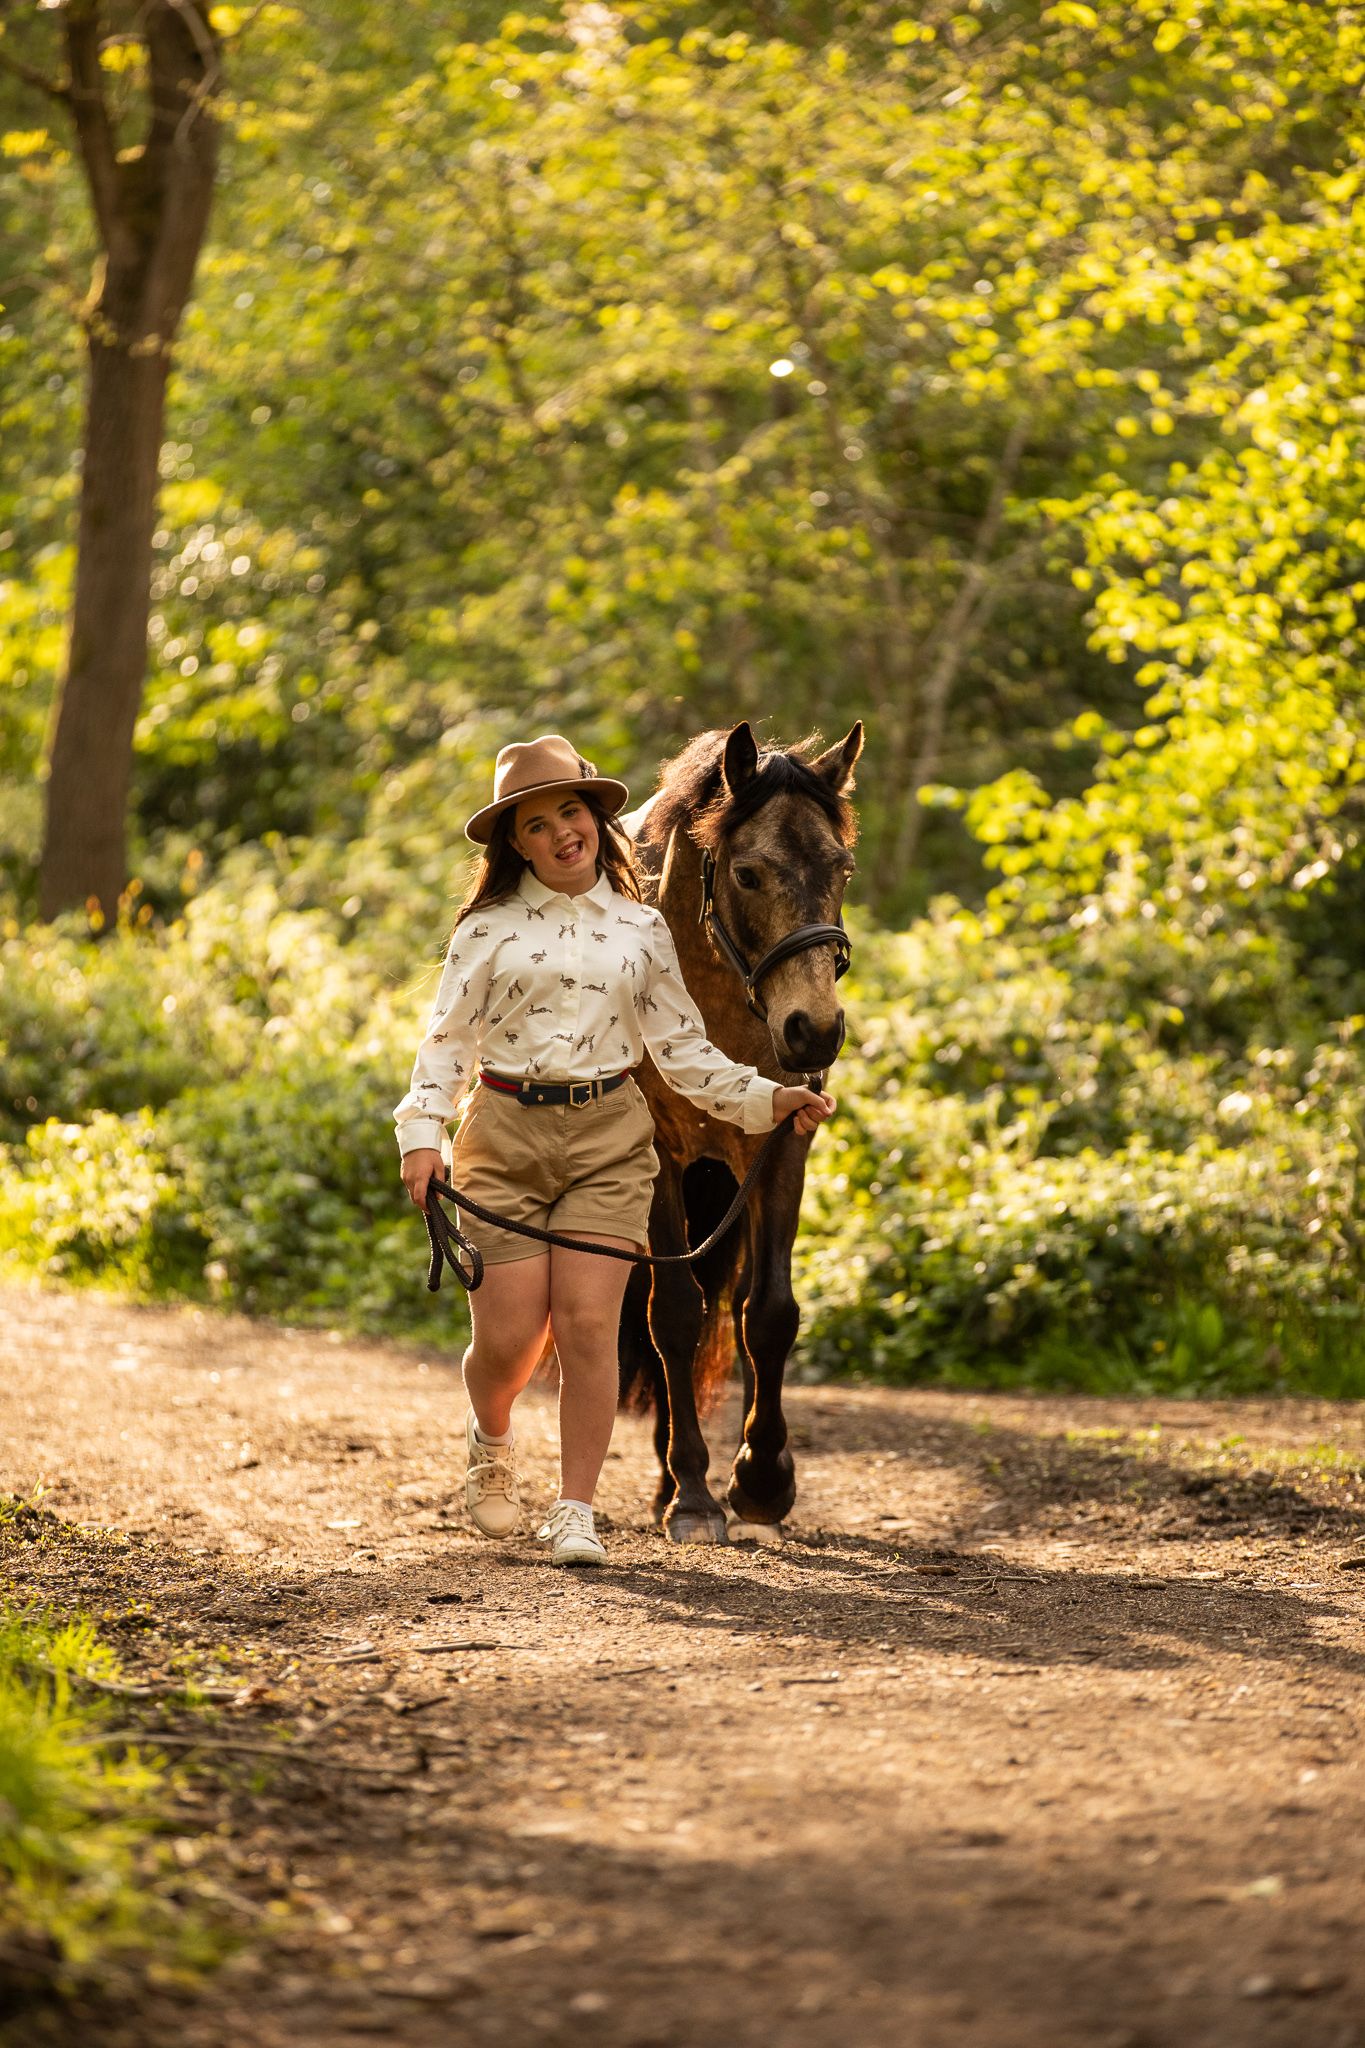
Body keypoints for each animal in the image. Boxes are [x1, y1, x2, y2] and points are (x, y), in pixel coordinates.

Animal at [618, 719, 863, 1544]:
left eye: (842, 870)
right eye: (749, 874)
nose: (814, 1030)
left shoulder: (782, 1147)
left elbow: (769, 1313)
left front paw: (761, 1480)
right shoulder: (660, 1159)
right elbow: (673, 1315)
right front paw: (693, 1493)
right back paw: (670, 1480)